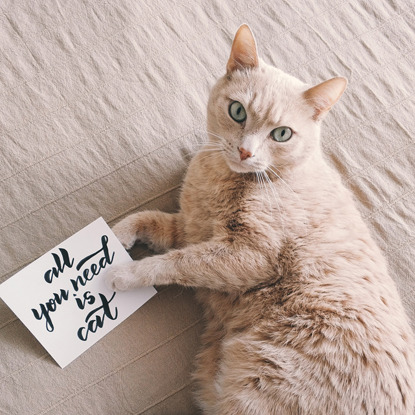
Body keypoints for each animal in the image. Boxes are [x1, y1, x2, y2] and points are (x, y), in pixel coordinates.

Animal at [105, 24, 415, 414]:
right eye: (237, 111)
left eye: (281, 134)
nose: (244, 151)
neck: (221, 177)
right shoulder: (189, 226)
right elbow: (146, 220)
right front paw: (113, 236)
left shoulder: (246, 255)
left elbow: (174, 263)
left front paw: (125, 273)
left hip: (254, 393)